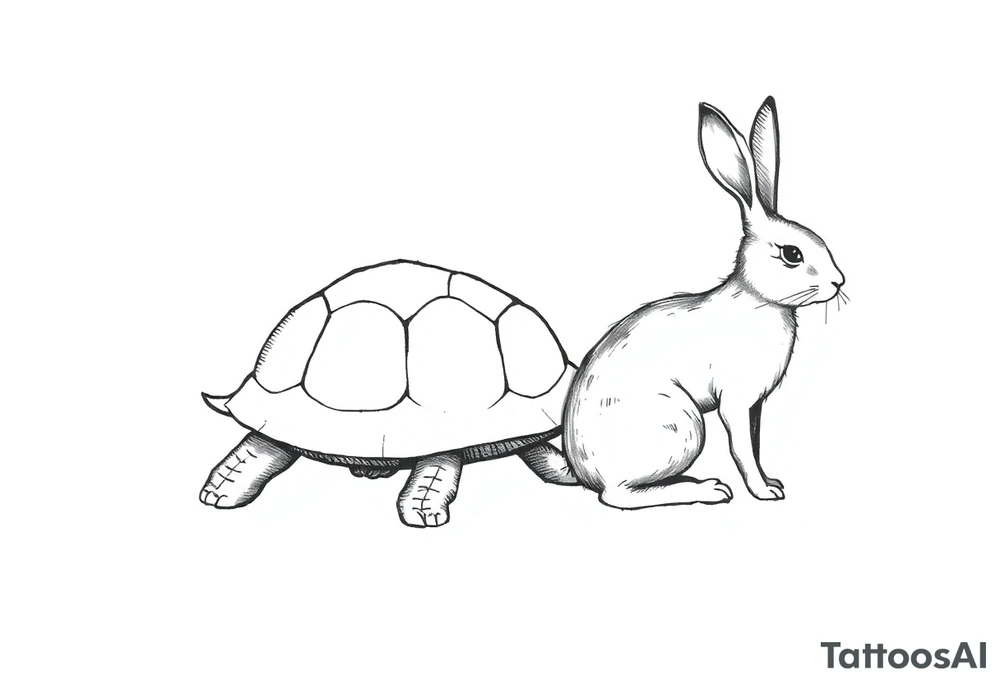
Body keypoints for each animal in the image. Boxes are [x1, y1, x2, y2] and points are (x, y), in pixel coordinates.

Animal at [562, 96, 844, 509]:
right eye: (792, 254)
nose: (839, 282)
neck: (757, 300)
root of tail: (584, 471)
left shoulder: (755, 407)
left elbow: (754, 444)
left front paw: (772, 482)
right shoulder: (736, 401)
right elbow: (741, 449)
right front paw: (763, 493)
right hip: (683, 425)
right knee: (619, 496)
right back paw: (708, 490)